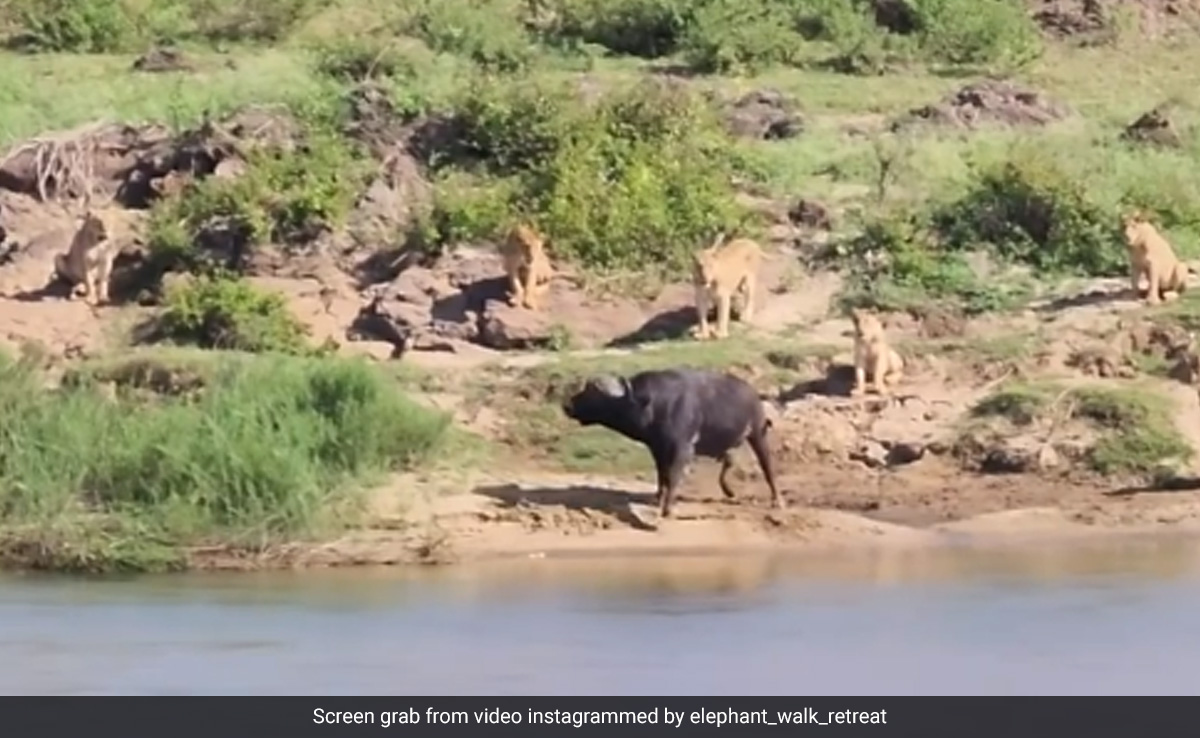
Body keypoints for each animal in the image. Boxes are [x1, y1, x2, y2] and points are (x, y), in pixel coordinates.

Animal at [560, 368, 784, 519]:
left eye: (592, 391)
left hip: (758, 435)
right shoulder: (658, 449)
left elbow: (674, 476)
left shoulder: (683, 448)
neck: (654, 405)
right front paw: (658, 498)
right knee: (729, 461)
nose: (567, 405)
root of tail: (754, 394)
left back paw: (777, 500)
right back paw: (730, 491)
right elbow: (663, 476)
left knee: (768, 468)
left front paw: (667, 508)